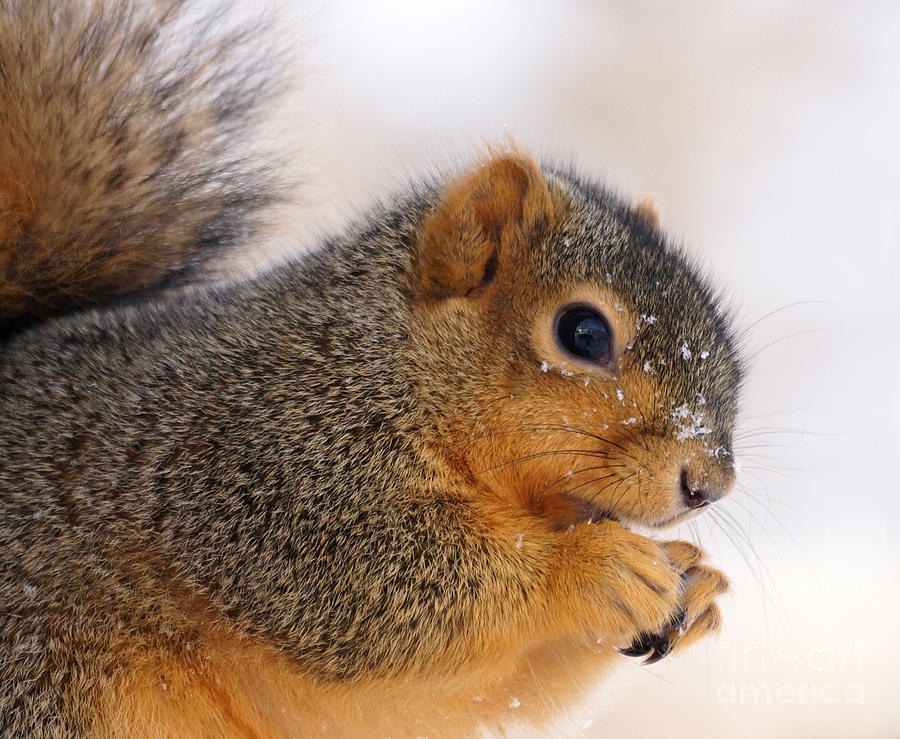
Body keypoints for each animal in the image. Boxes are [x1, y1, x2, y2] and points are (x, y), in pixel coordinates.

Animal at [1, 1, 740, 739]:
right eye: (583, 332)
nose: (708, 484)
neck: (387, 363)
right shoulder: (262, 475)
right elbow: (367, 589)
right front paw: (591, 566)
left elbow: (493, 686)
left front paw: (696, 584)